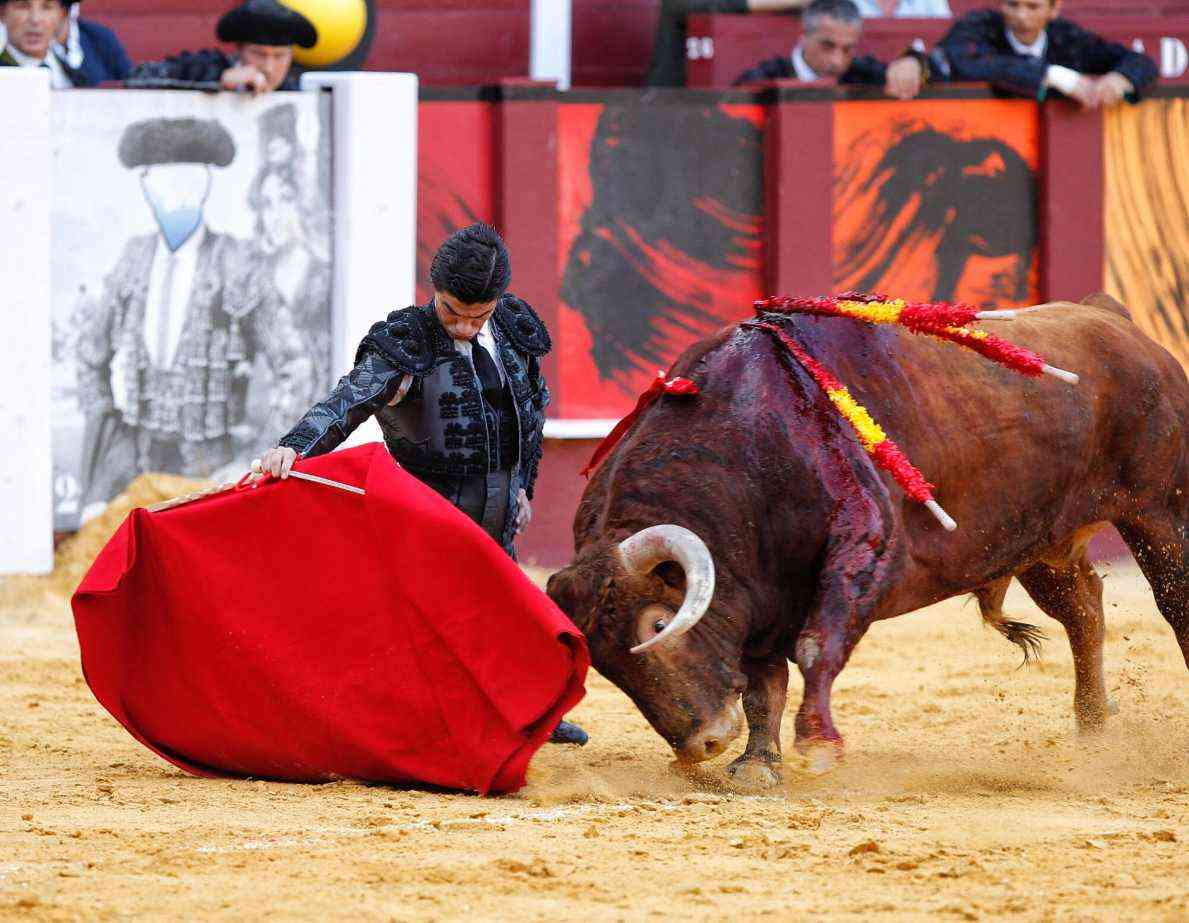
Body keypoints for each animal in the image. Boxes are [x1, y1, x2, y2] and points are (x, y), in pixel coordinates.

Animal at [547, 294, 1189, 788]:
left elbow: (815, 647)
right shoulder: (758, 591)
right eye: (603, 663)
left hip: (1161, 514)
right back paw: (1093, 731)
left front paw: (817, 746)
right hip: (1034, 540)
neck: (748, 444)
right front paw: (758, 766)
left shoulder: (865, 552)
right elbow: (763, 683)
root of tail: (1112, 319)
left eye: (659, 624)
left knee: (1173, 603)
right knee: (1083, 611)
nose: (702, 743)